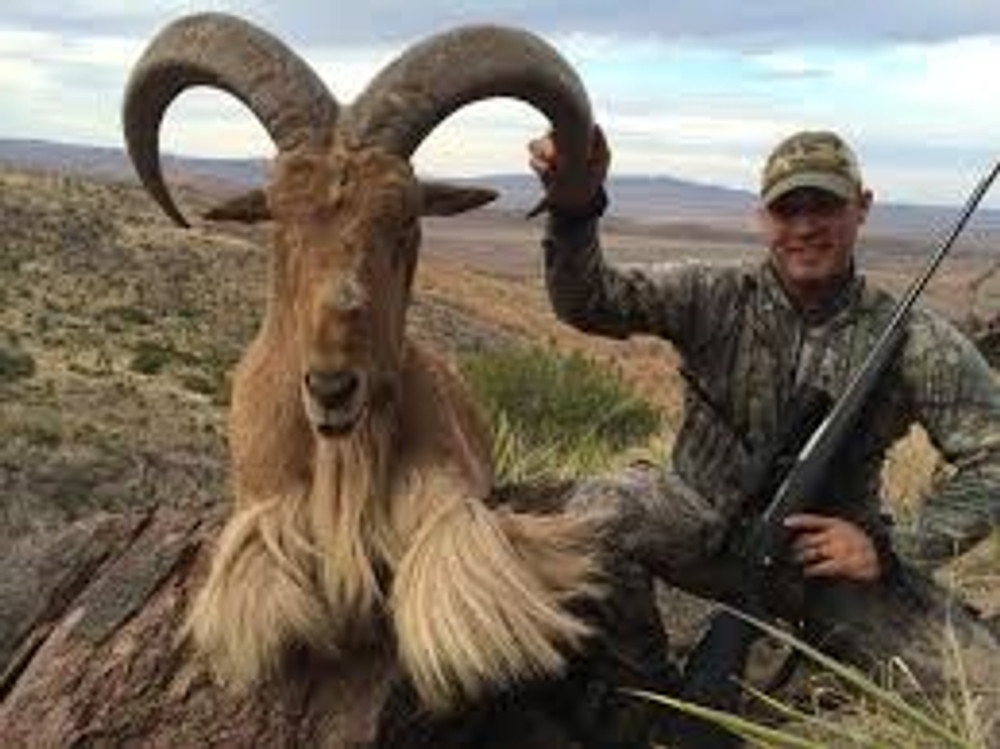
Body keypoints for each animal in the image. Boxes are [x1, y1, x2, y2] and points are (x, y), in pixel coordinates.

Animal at [125, 14, 608, 712]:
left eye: (404, 218)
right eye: (277, 215)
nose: (332, 388)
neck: (344, 456)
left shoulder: (451, 482)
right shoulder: (261, 500)